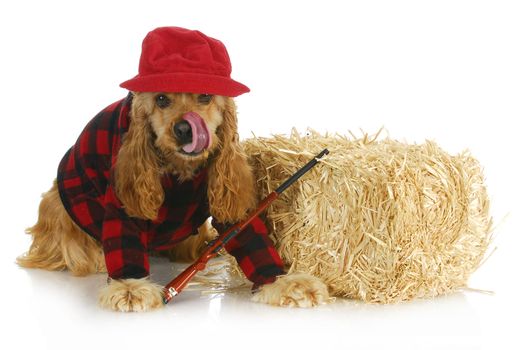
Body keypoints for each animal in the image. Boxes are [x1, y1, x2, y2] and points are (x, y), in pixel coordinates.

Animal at [17, 27, 332, 312]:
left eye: (205, 96)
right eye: (161, 99)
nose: (184, 129)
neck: (180, 168)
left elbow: (249, 236)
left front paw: (284, 283)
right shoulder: (121, 199)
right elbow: (123, 235)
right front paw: (130, 287)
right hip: (58, 210)